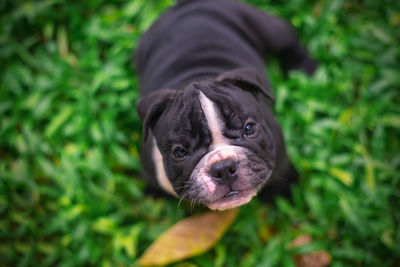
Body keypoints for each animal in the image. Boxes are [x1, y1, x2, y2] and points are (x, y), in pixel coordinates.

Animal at [136, 0, 318, 211]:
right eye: (179, 152)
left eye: (249, 129)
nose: (223, 168)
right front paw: (153, 195)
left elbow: (283, 172)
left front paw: (286, 191)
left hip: (265, 27)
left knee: (288, 36)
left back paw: (304, 66)